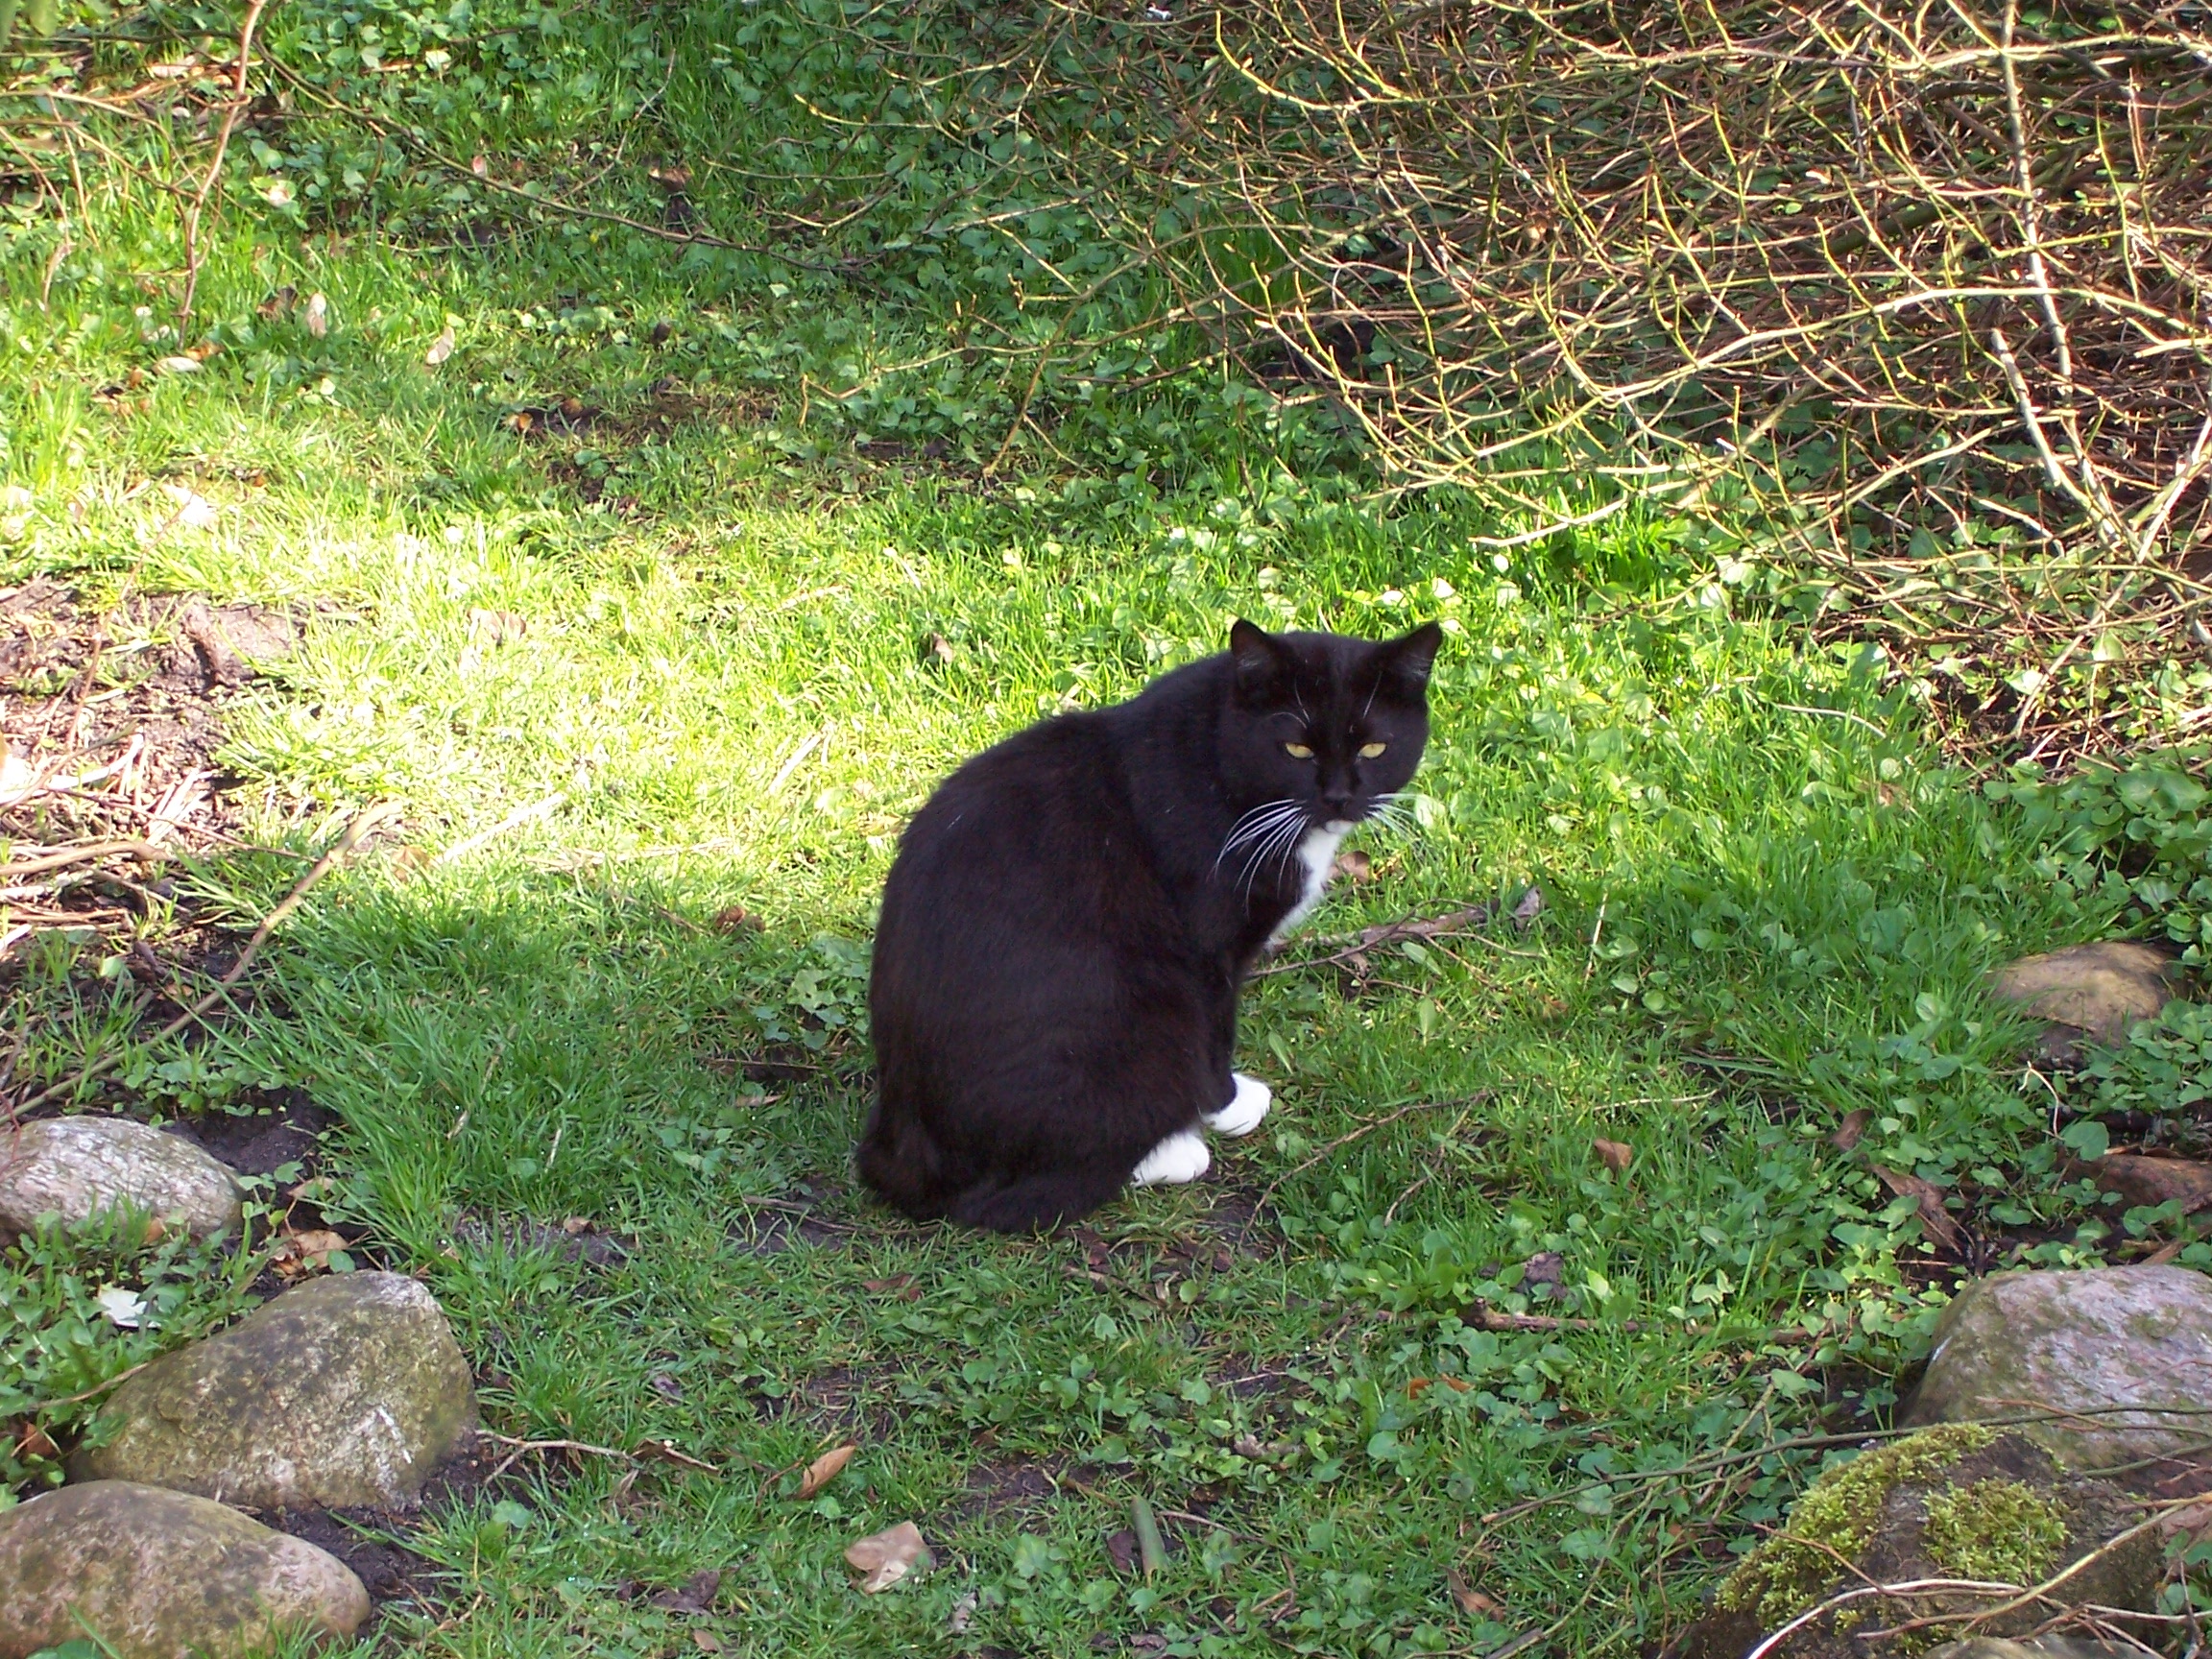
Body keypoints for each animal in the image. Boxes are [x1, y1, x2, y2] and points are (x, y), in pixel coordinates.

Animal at [855, 617, 1442, 1232]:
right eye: (1297, 748)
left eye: (1375, 747)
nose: (1339, 797)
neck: (1217, 759)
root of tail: (903, 1154)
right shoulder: (1209, 951)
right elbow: (1216, 1033)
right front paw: (1228, 1103)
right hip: (1141, 1016)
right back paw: (1172, 1151)